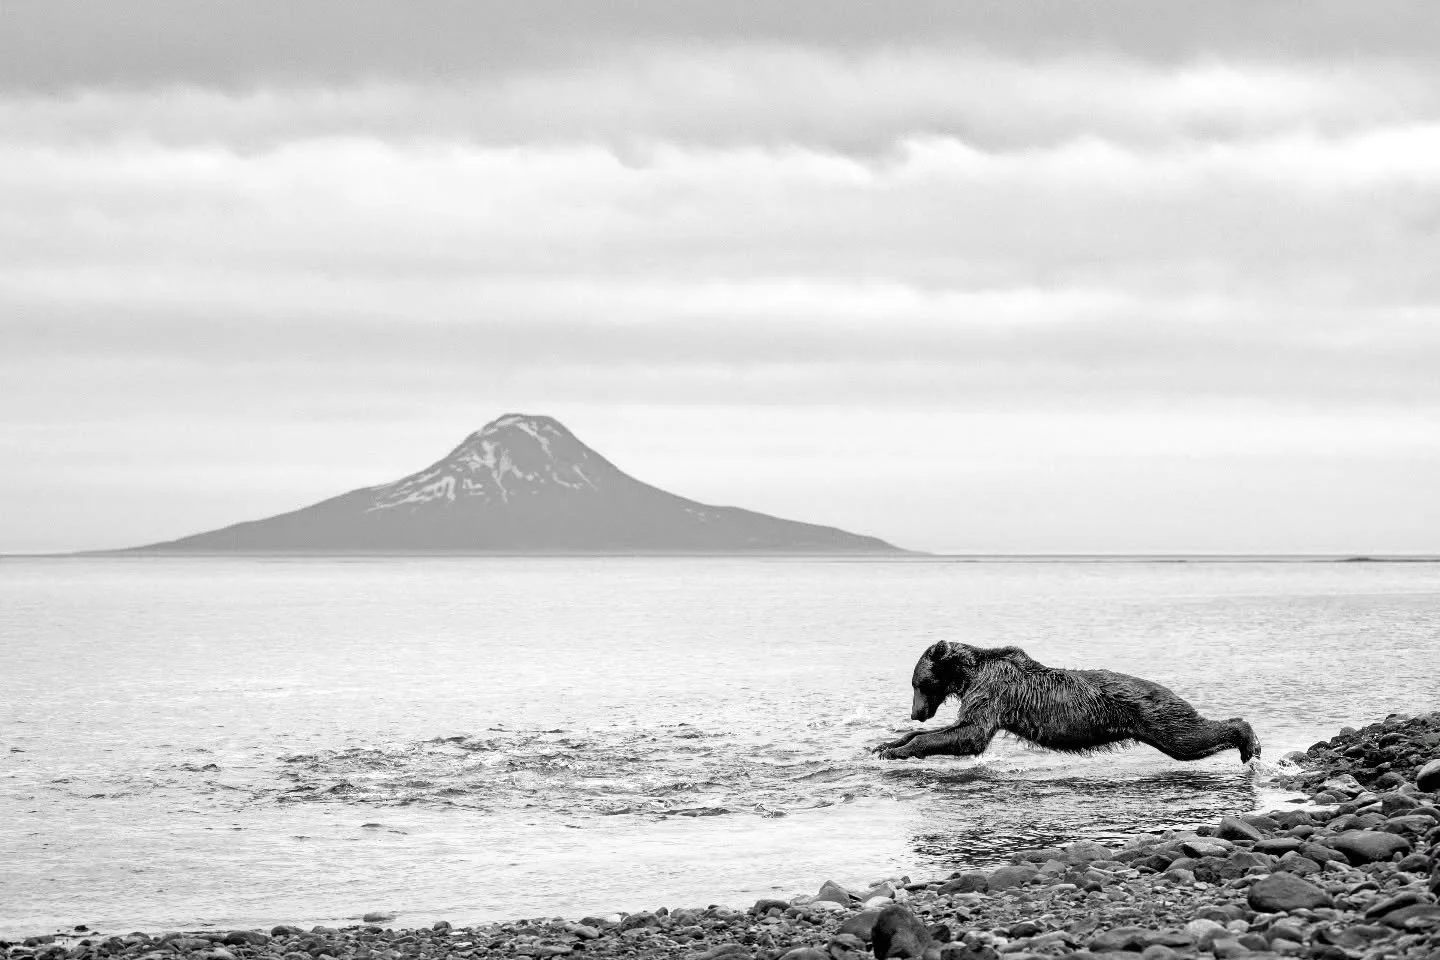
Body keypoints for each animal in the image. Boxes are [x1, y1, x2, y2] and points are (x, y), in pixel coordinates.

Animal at [874, 641, 1260, 763]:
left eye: (918, 684)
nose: (915, 714)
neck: (969, 673)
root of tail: (1166, 688)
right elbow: (957, 729)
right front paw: (886, 744)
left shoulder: (993, 691)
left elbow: (970, 733)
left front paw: (899, 750)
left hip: (1157, 714)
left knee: (1190, 737)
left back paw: (1249, 742)